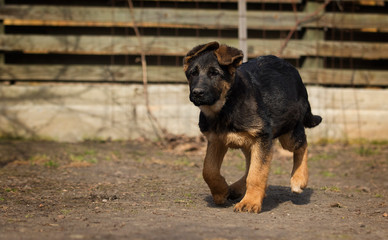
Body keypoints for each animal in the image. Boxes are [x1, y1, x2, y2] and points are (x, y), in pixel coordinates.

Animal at [184, 42, 322, 213]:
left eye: (214, 73)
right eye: (193, 73)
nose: (197, 93)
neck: (226, 105)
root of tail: (293, 69)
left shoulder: (262, 138)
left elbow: (257, 173)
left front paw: (250, 202)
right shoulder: (216, 141)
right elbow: (209, 170)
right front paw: (221, 192)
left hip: (289, 133)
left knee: (302, 145)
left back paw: (299, 178)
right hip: (248, 143)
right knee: (250, 164)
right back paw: (235, 188)